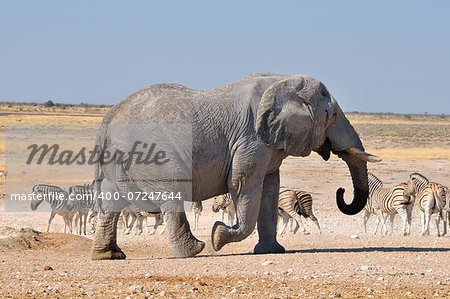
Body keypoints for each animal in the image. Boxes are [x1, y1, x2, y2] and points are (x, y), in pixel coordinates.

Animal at [90, 72, 380, 260]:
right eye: (331, 115)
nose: (341, 191)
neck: (281, 80)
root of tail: (108, 119)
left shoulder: (269, 143)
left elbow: (270, 187)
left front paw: (272, 251)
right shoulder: (251, 140)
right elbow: (242, 183)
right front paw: (218, 236)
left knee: (111, 201)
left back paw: (109, 256)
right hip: (153, 155)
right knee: (172, 193)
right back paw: (194, 251)